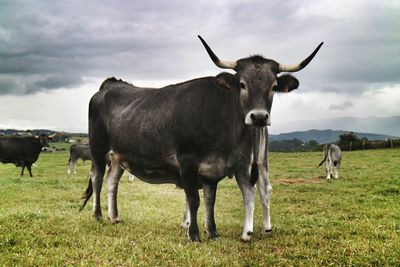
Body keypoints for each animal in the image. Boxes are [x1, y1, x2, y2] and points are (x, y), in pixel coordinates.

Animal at [79, 35, 322, 243]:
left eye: (273, 87)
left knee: (112, 181)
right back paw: (97, 215)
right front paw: (194, 235)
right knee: (97, 178)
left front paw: (212, 232)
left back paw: (114, 216)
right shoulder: (187, 162)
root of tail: (111, 84)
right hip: (98, 149)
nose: (259, 117)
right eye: (242, 84)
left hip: (119, 155)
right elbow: (194, 199)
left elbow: (210, 199)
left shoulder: (215, 168)